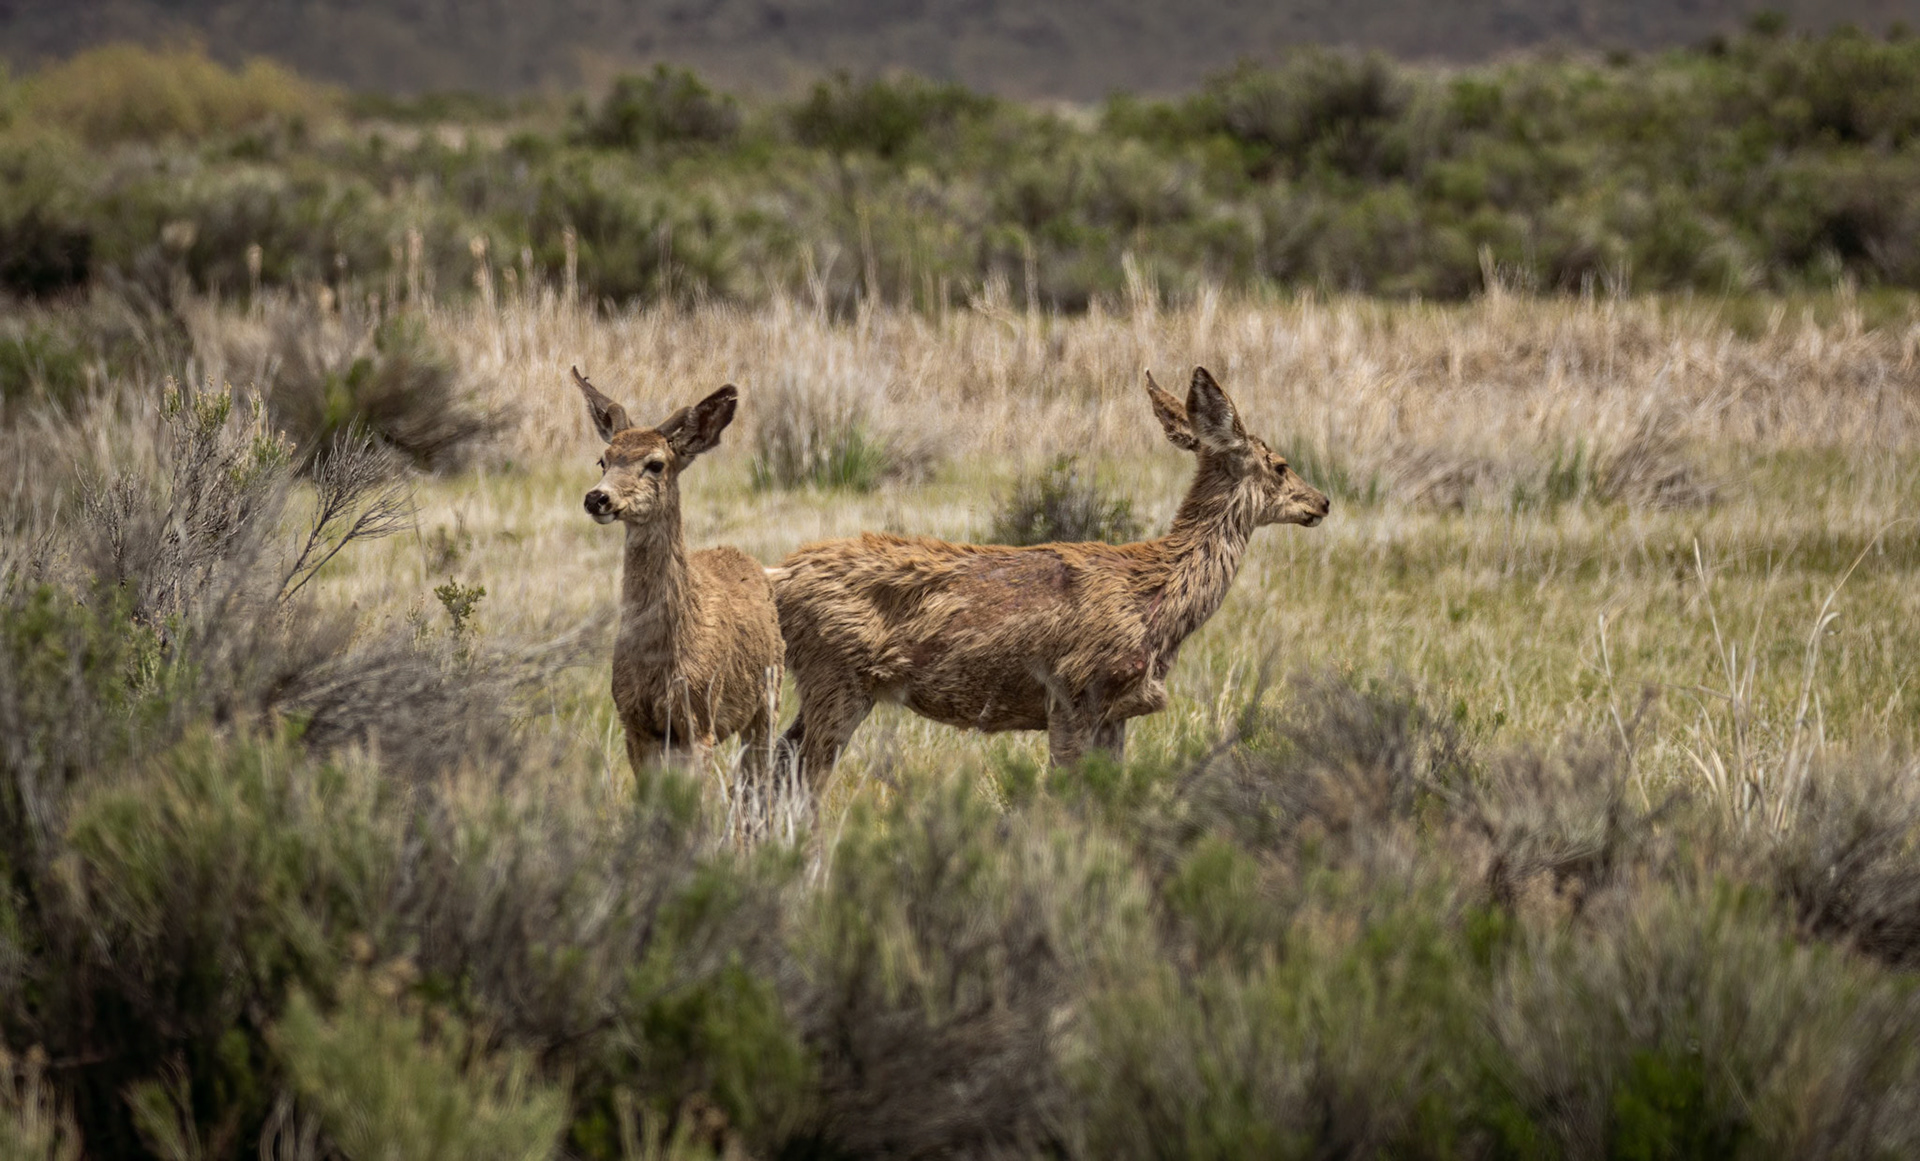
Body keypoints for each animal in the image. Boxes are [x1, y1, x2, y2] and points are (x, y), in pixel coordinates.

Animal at [571, 366, 784, 780]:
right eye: (603, 460)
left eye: (656, 463)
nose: (597, 497)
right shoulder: (634, 722)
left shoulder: (698, 718)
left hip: (770, 695)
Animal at [768, 366, 1330, 792]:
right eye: (1281, 465)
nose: (1323, 501)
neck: (1154, 595)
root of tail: (777, 575)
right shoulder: (1074, 690)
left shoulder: (1117, 711)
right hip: (835, 674)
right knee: (800, 772)